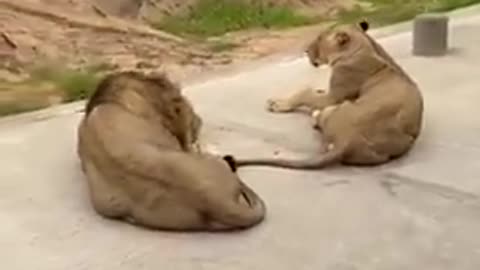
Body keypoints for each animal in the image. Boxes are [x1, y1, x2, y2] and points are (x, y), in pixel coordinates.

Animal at [232, 20, 424, 171]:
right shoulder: (330, 93)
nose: (305, 51)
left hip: (339, 106)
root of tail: (346, 141)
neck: (363, 46)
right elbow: (313, 91)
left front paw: (277, 103)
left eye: (319, 39)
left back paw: (315, 115)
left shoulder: (333, 97)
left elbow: (305, 92)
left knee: (319, 118)